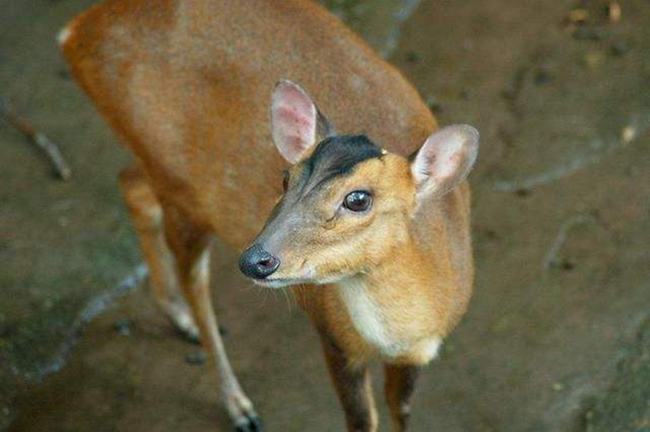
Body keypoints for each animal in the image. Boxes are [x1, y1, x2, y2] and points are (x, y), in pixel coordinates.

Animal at [59, 0, 476, 430]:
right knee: (193, 278)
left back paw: (177, 315)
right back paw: (236, 401)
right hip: (181, 188)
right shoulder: (334, 337)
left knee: (130, 185)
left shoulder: (417, 353)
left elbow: (401, 411)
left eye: (358, 199)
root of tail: (76, 31)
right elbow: (363, 419)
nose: (256, 260)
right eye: (285, 177)